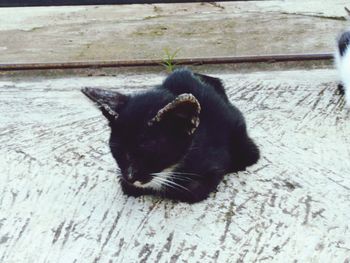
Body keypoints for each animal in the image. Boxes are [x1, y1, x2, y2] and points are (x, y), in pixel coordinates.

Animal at [81, 68, 258, 204]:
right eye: (116, 150)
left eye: (148, 150)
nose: (131, 177)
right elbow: (126, 185)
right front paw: (130, 184)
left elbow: (192, 190)